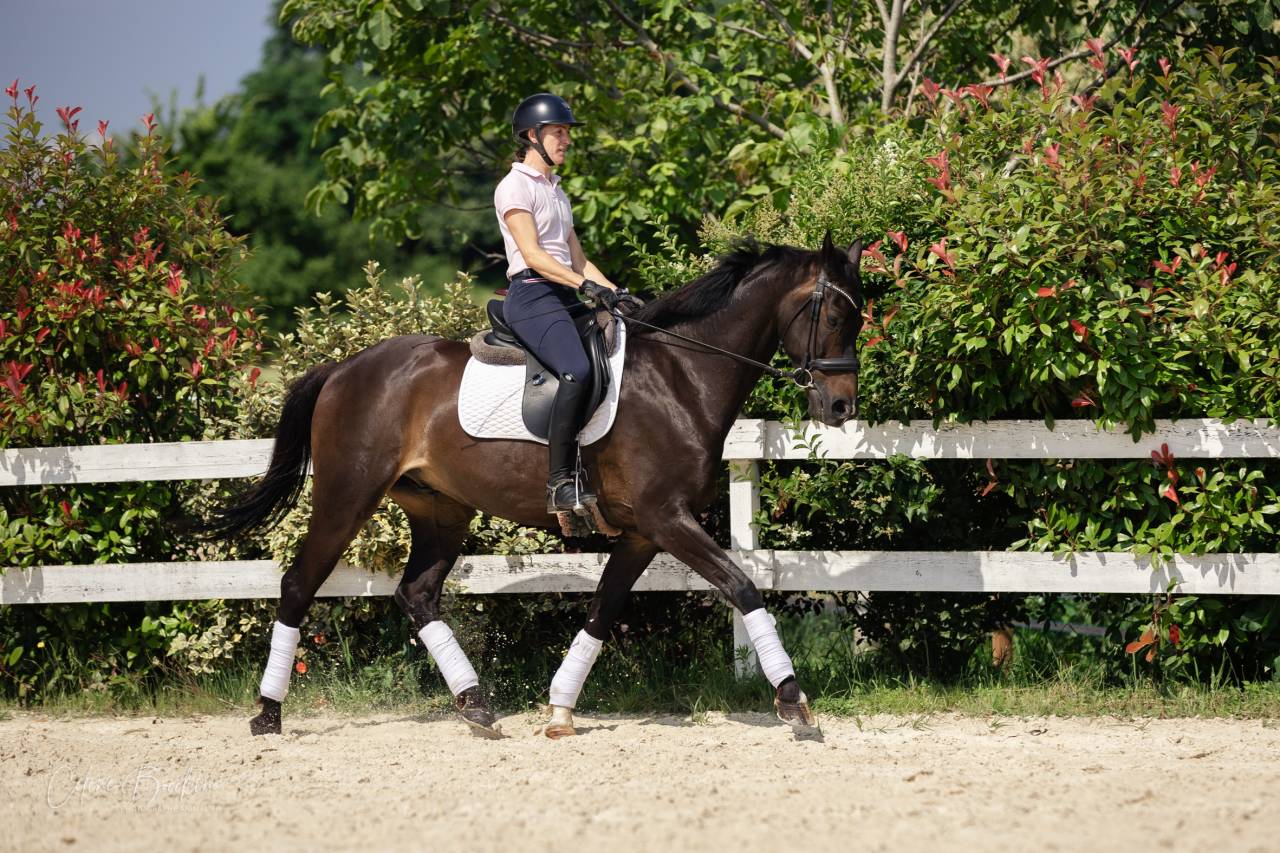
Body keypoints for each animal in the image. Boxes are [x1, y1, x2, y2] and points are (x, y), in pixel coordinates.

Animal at [207, 232, 869, 737]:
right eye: (837, 317)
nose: (840, 408)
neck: (682, 376)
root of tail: (343, 368)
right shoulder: (667, 519)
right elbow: (743, 587)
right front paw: (793, 701)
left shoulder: (642, 532)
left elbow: (602, 611)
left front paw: (560, 709)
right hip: (347, 497)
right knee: (298, 584)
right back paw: (267, 714)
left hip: (441, 510)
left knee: (417, 595)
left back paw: (475, 706)